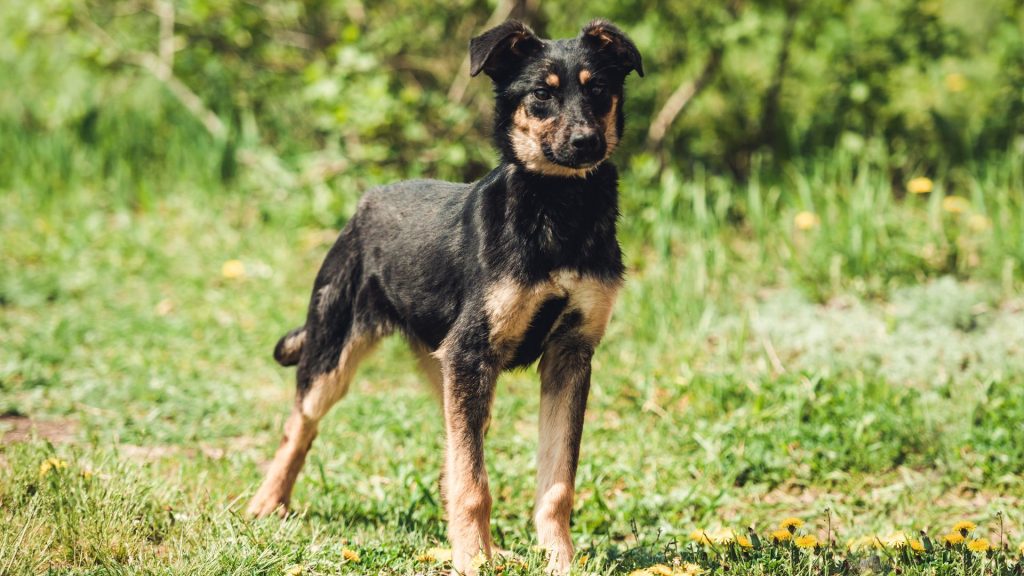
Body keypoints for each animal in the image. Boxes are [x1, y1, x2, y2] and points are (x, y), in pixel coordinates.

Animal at [248, 17, 643, 573]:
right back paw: (268, 502)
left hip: (451, 377)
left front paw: (558, 559)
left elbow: (556, 482)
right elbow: (474, 483)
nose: (587, 142)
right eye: (541, 96)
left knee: (452, 456)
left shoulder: (569, 356)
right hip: (335, 354)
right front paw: (473, 560)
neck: (558, 206)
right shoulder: (472, 353)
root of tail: (363, 207)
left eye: (599, 90)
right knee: (299, 426)